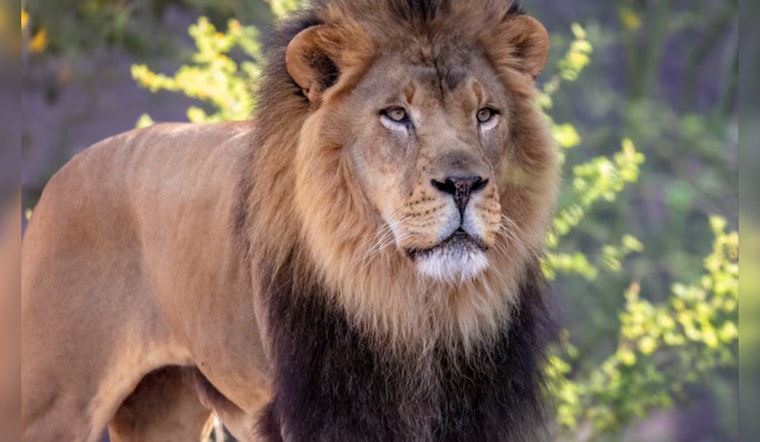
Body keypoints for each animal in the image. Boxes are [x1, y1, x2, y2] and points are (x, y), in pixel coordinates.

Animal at [21, 0, 560, 440]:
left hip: (162, 407)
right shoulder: (315, 412)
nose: (465, 184)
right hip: (50, 404)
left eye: (486, 114)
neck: (411, 309)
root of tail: (58, 179)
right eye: (396, 114)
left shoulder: (480, 412)